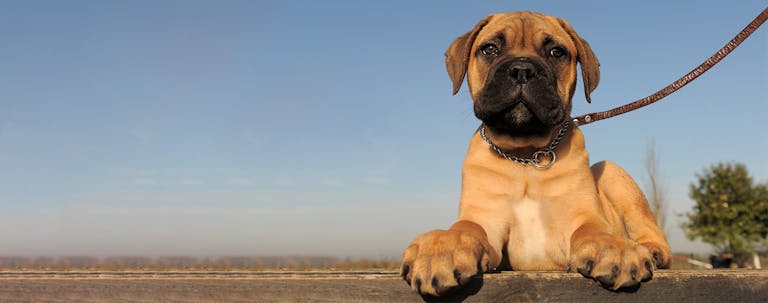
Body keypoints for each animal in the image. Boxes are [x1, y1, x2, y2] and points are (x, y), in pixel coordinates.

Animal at [400, 11, 668, 296]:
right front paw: (441, 246)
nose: (522, 70)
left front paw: (613, 247)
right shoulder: (486, 218)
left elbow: (593, 230)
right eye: (490, 49)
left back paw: (653, 250)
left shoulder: (580, 213)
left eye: (556, 52)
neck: (526, 156)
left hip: (613, 173)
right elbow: (467, 227)